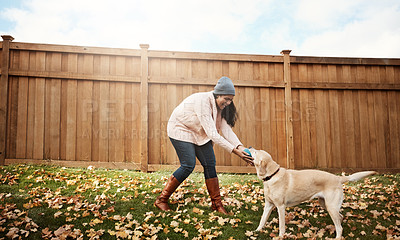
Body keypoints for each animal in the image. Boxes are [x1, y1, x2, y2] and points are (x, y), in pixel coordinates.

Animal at [250, 147, 378, 239]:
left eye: (255, 152)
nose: (250, 147)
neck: (272, 176)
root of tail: (338, 178)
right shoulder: (268, 205)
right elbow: (262, 220)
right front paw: (256, 231)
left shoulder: (280, 207)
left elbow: (281, 225)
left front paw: (281, 236)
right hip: (325, 204)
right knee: (340, 218)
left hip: (330, 207)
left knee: (340, 227)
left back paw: (337, 237)